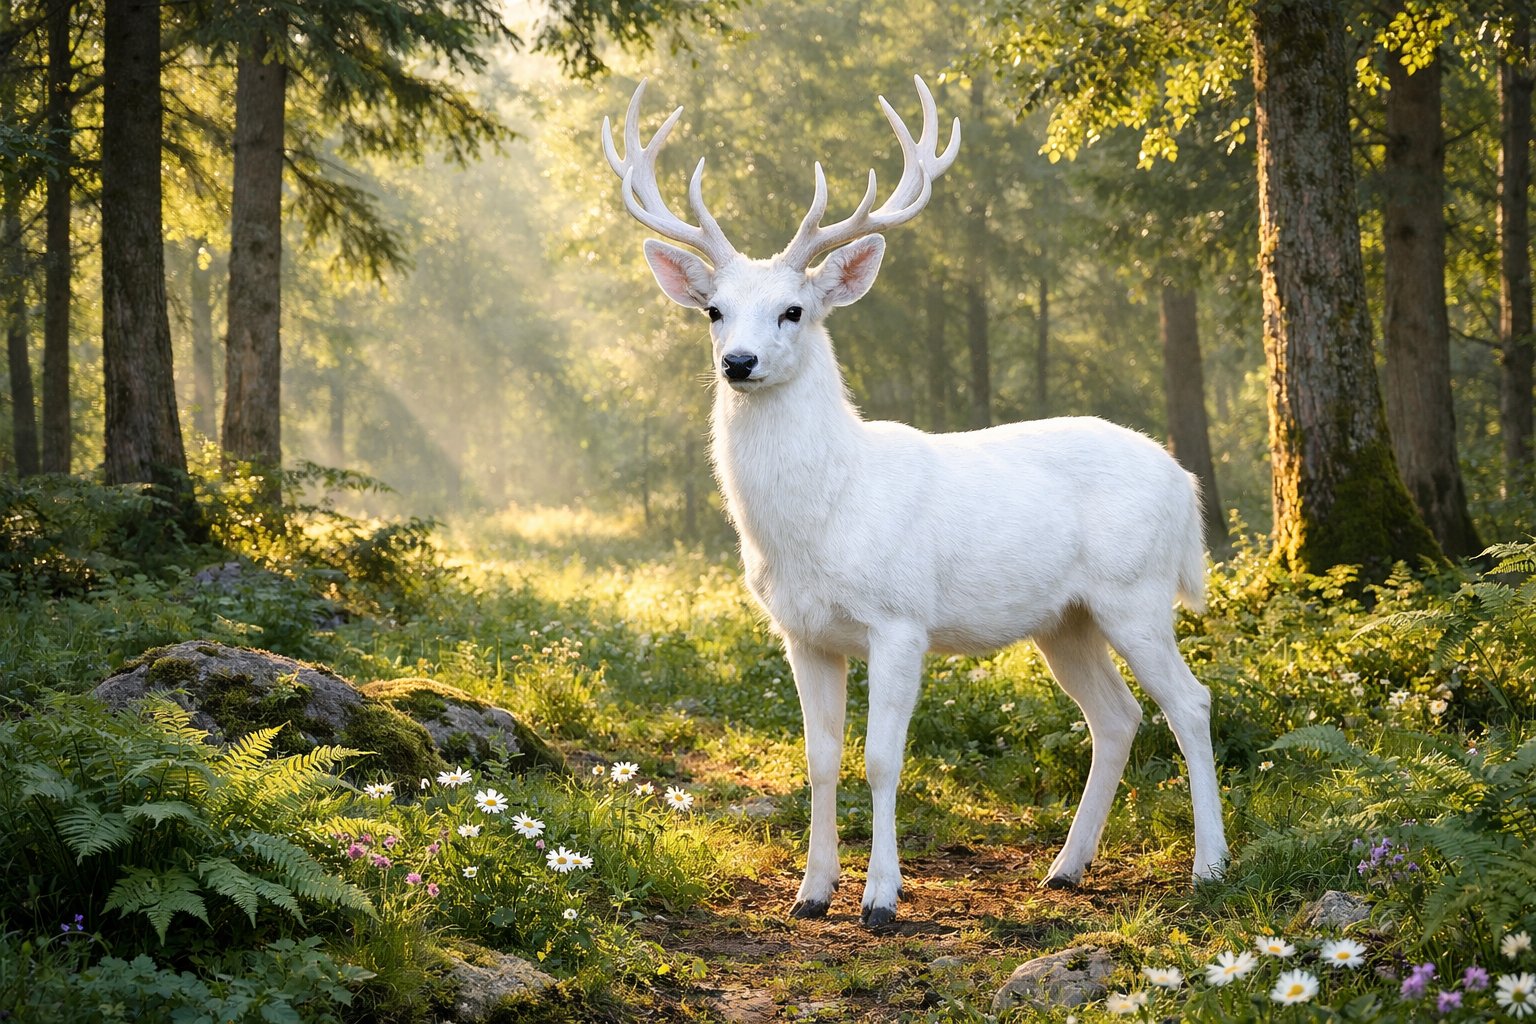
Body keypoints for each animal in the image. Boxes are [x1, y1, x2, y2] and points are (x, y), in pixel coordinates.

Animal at [602, 76, 1228, 927]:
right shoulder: (803, 632)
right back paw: (1066, 869)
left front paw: (881, 898)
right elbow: (820, 759)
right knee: (1117, 715)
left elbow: (882, 759)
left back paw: (1210, 867)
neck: (822, 515)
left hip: (1137, 591)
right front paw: (811, 893)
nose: (739, 362)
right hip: (1065, 620)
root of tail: (1184, 481)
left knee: (1190, 703)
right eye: (714, 310)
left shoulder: (900, 619)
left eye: (794, 310)